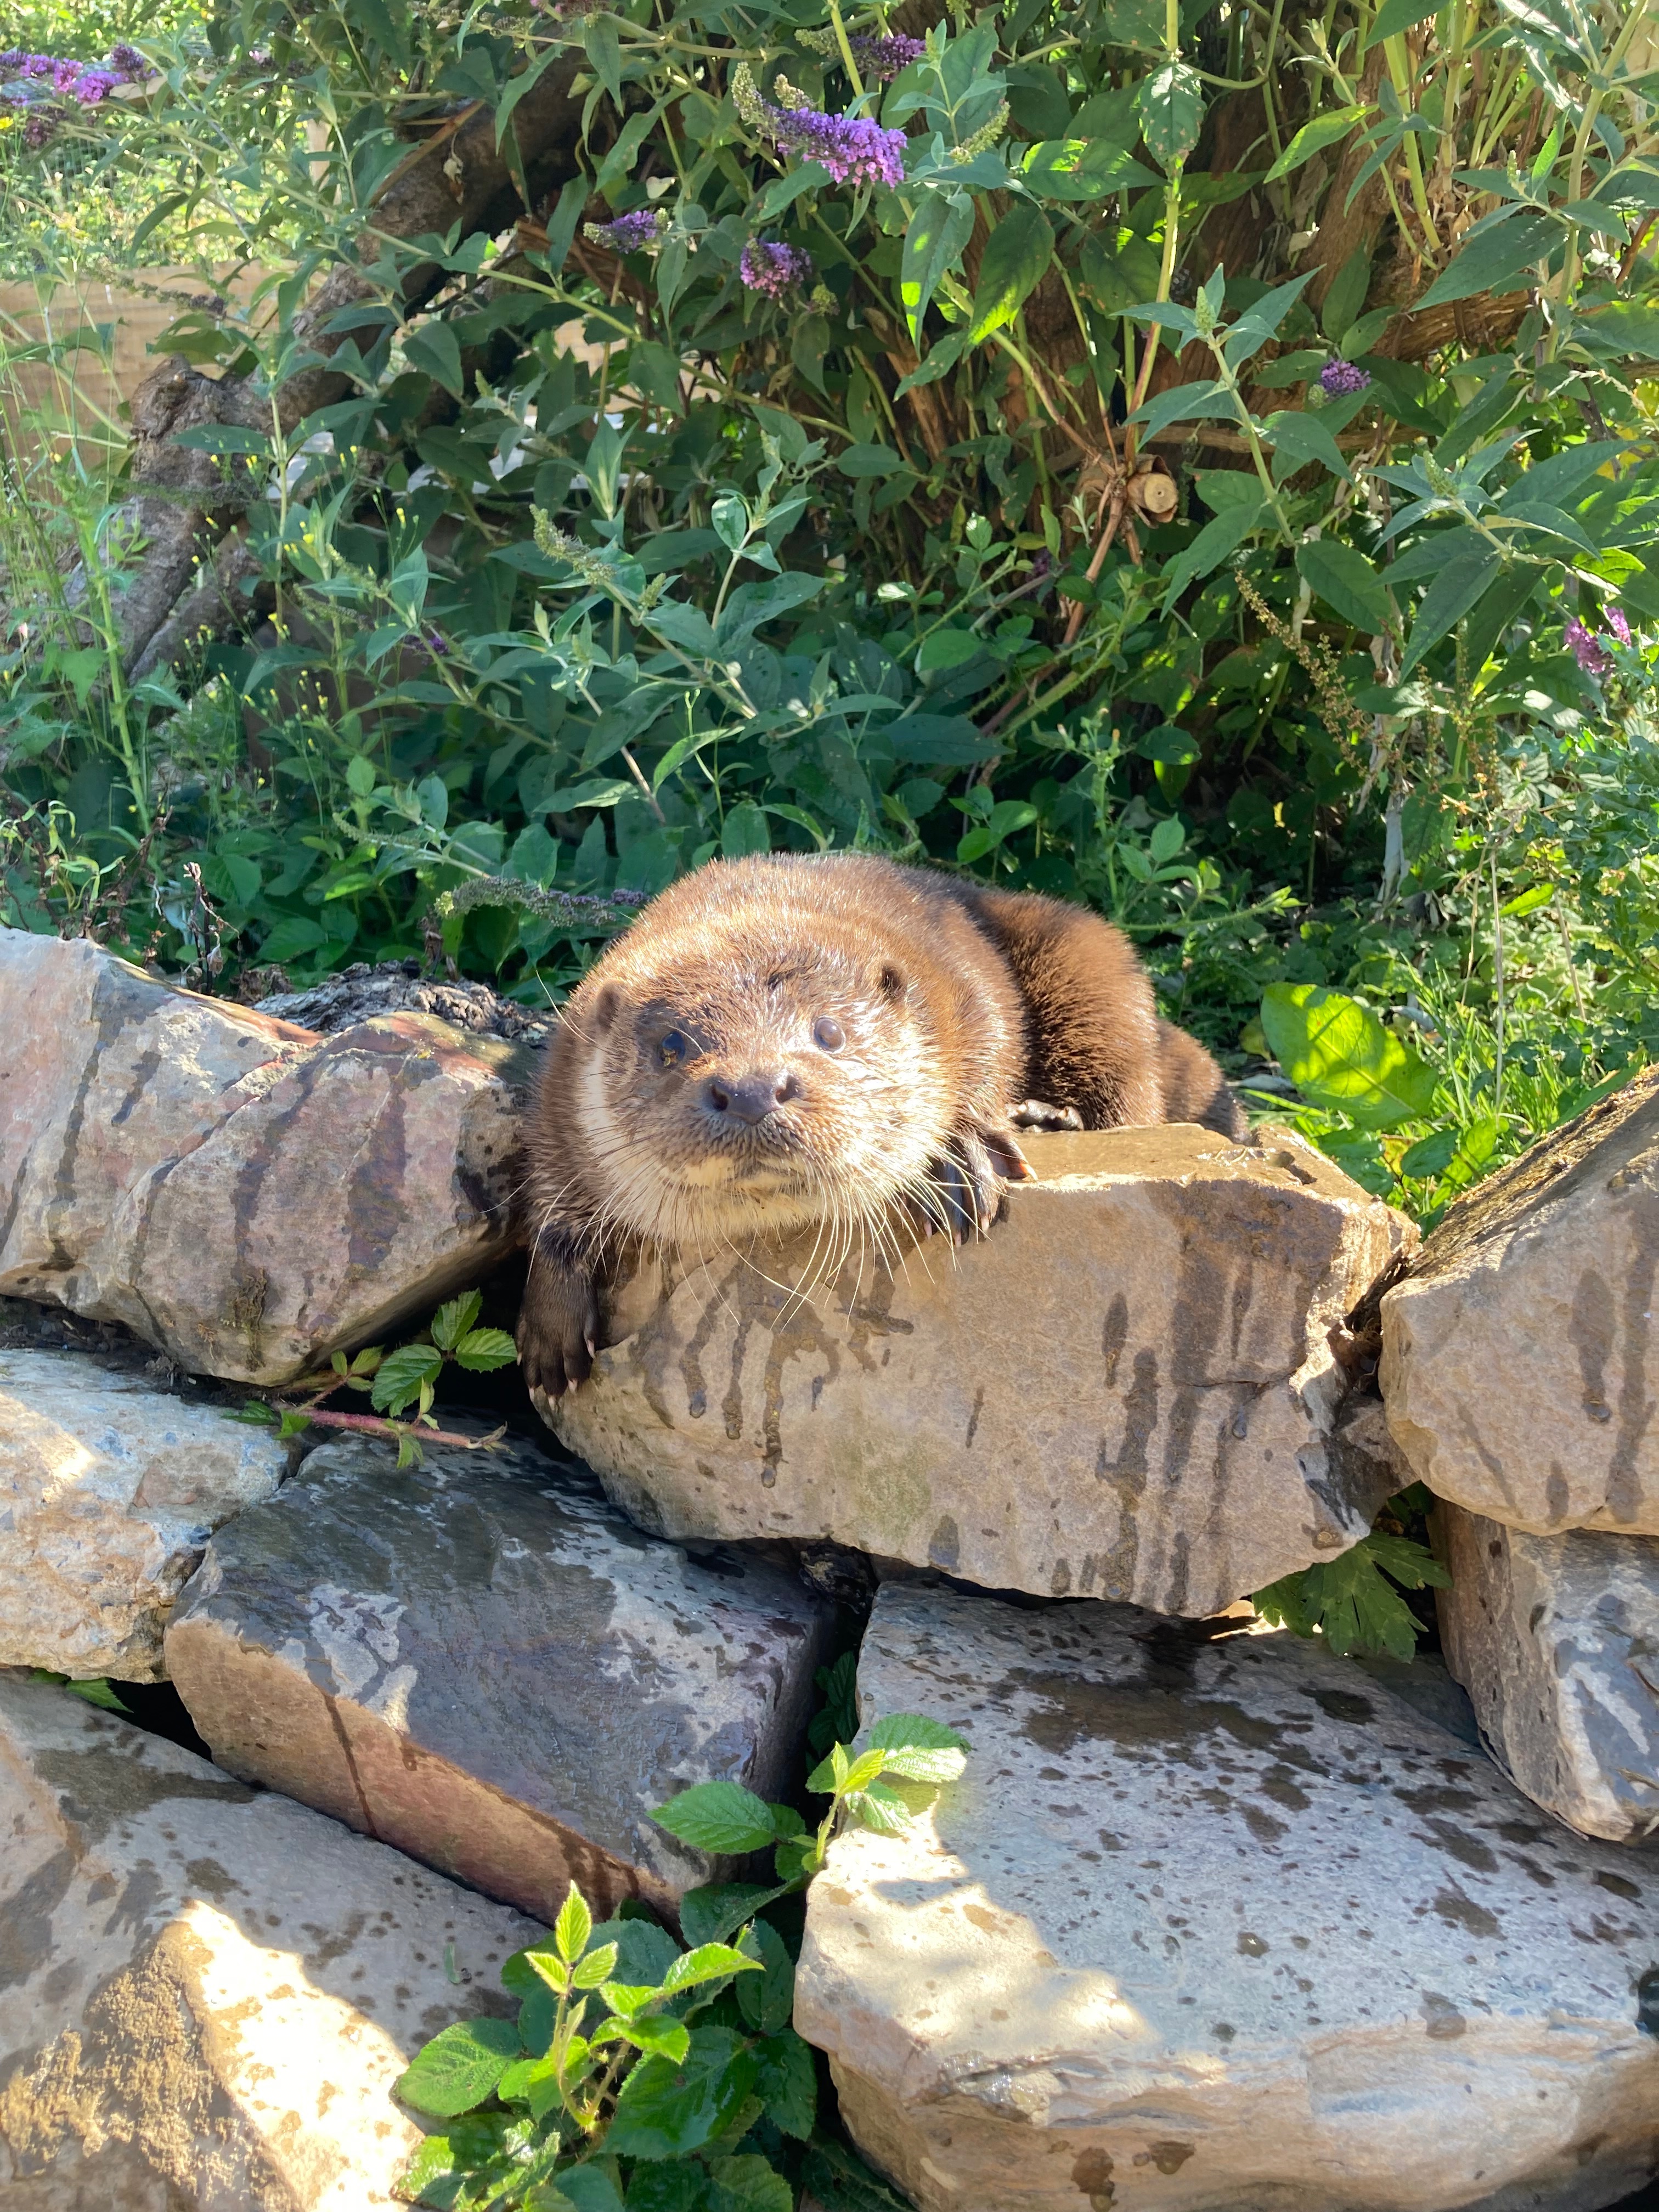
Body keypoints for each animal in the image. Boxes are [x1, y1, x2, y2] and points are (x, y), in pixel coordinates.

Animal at [517, 852, 1244, 1403]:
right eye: (670, 1046)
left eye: (829, 1033)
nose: (752, 1091)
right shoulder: (560, 1081)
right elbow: (546, 1186)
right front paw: (550, 1321)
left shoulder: (958, 986)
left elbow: (988, 1049)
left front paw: (962, 1152)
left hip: (1089, 964)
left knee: (1128, 1083)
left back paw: (1049, 1118)